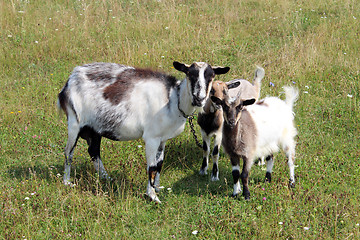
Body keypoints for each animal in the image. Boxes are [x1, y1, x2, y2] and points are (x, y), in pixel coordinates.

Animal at [57, 60, 229, 202]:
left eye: (211, 76)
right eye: (190, 74)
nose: (199, 98)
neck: (173, 99)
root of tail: (69, 81)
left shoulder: (162, 138)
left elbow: (159, 164)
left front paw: (157, 188)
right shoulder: (151, 138)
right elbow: (151, 167)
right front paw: (152, 196)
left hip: (95, 128)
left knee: (93, 151)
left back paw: (106, 178)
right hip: (74, 122)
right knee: (68, 152)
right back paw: (67, 181)